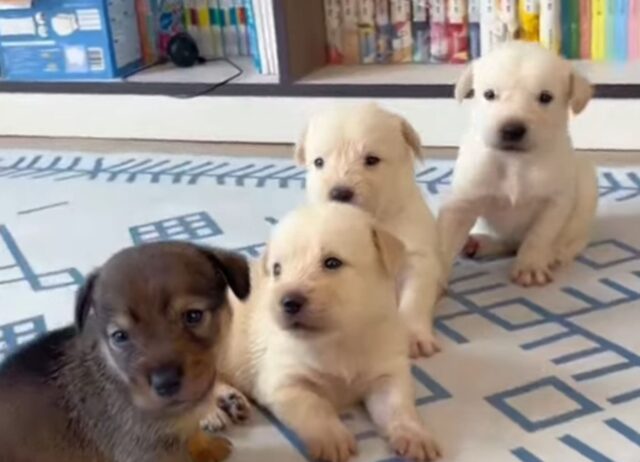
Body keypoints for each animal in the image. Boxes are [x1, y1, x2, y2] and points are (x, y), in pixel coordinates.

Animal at [0, 242, 250, 462]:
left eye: (193, 316)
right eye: (120, 336)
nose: (165, 383)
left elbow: (193, 433)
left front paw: (208, 447)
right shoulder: (149, 453)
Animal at [215, 204, 440, 462]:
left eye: (332, 263)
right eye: (277, 270)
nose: (288, 302)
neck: (337, 340)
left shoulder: (388, 372)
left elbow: (398, 407)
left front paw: (415, 436)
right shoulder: (284, 382)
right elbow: (314, 407)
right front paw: (332, 438)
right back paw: (217, 409)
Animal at [296, 104, 444, 358]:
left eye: (372, 160)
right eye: (319, 162)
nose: (339, 193)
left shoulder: (417, 257)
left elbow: (414, 298)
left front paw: (413, 336)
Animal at [438, 41, 596, 286]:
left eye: (545, 97)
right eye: (489, 94)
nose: (512, 130)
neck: (515, 161)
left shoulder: (555, 202)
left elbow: (539, 235)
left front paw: (530, 265)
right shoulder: (464, 200)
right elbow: (447, 238)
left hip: (587, 185)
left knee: (573, 240)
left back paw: (555, 254)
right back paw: (478, 243)